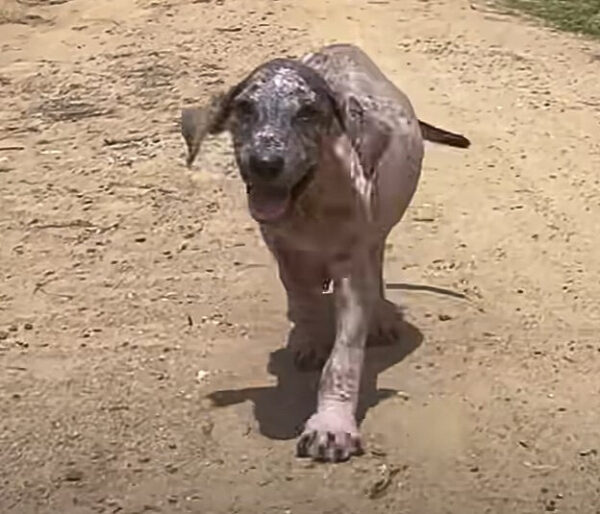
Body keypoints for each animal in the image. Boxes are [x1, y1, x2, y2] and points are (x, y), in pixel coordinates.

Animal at [180, 43, 472, 460]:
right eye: (245, 109)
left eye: (308, 112)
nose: (264, 164)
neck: (310, 204)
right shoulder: (285, 253)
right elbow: (303, 302)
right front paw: (310, 338)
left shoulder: (352, 268)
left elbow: (343, 358)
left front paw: (331, 426)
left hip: (377, 234)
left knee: (377, 264)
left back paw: (380, 317)